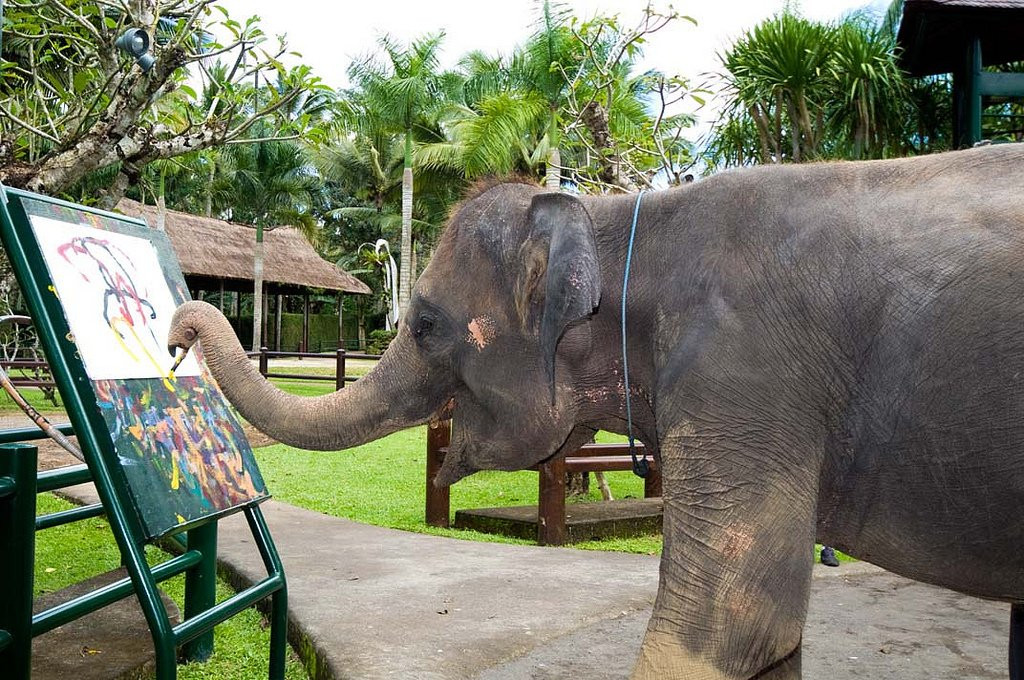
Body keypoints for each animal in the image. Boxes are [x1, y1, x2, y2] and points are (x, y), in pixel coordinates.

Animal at [172, 144, 1024, 680]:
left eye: (424, 325)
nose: (179, 329)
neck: (616, 218)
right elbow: (771, 646)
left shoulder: (746, 377)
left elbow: (732, 623)